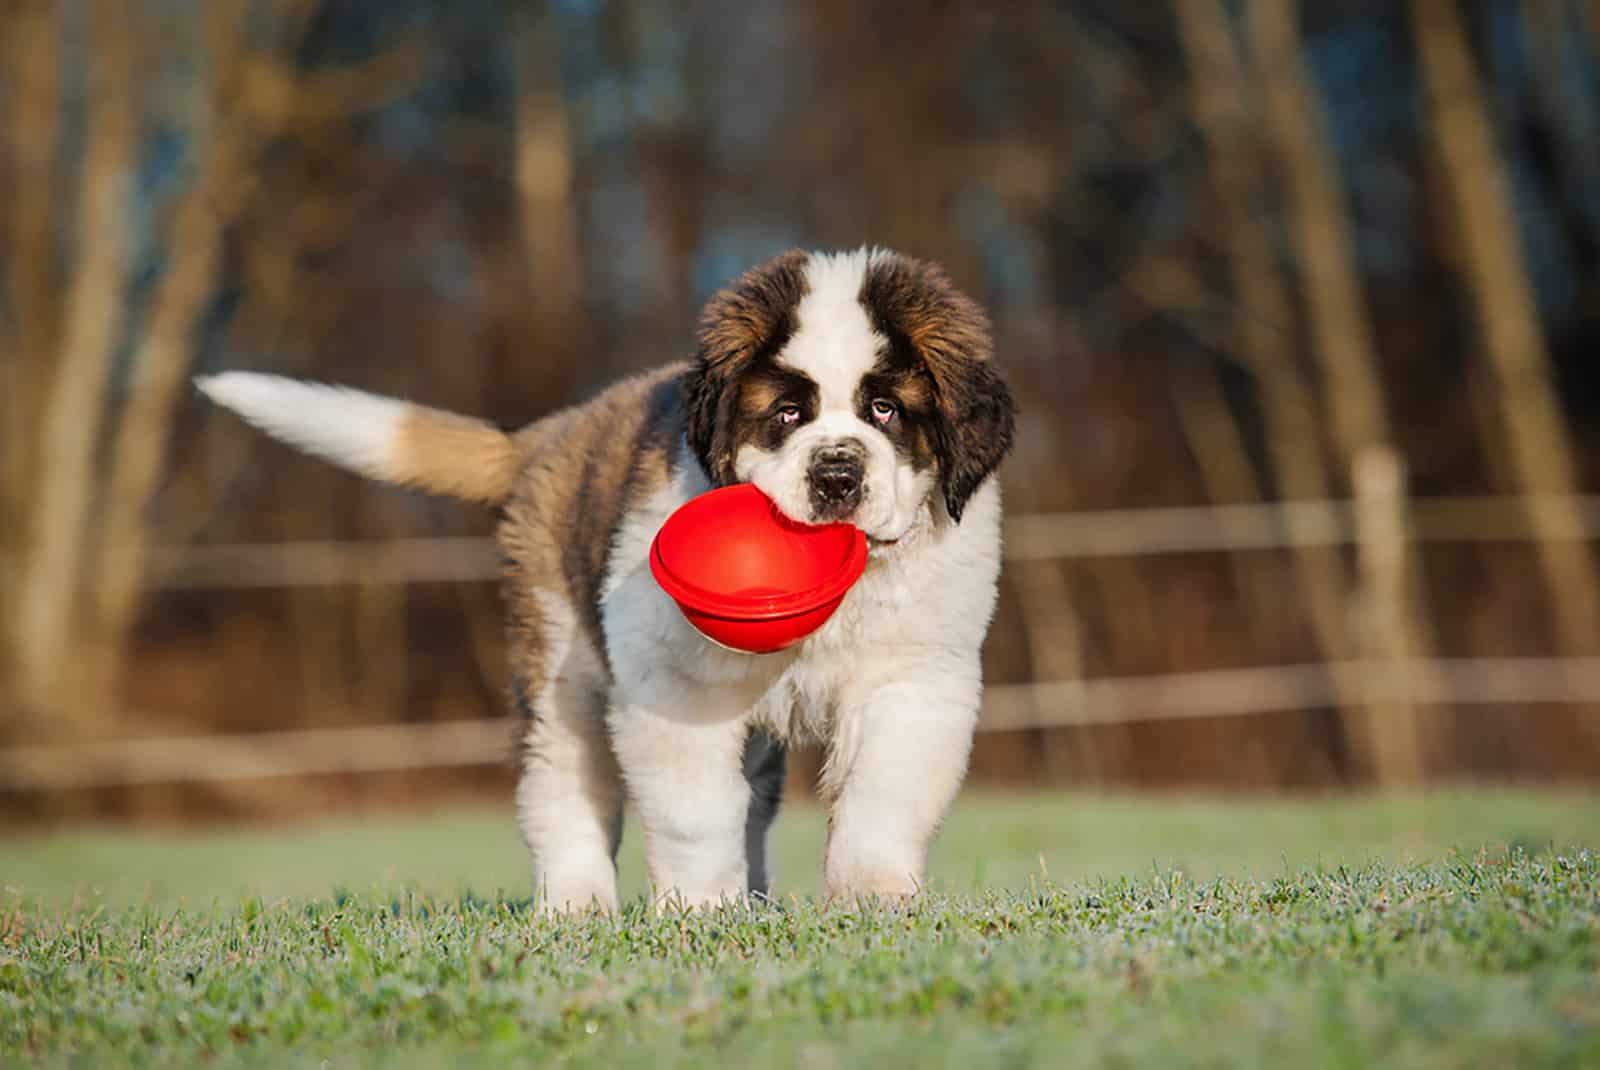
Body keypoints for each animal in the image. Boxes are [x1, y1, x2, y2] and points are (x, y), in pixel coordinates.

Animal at [200, 246, 1017, 908]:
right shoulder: (673, 686)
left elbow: (884, 792)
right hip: (561, 664)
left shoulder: (914, 679)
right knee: (562, 783)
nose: (837, 476)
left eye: (885, 410)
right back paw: (576, 907)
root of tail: (552, 433)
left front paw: (877, 900)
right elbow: (695, 810)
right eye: (786, 414)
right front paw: (700, 913)